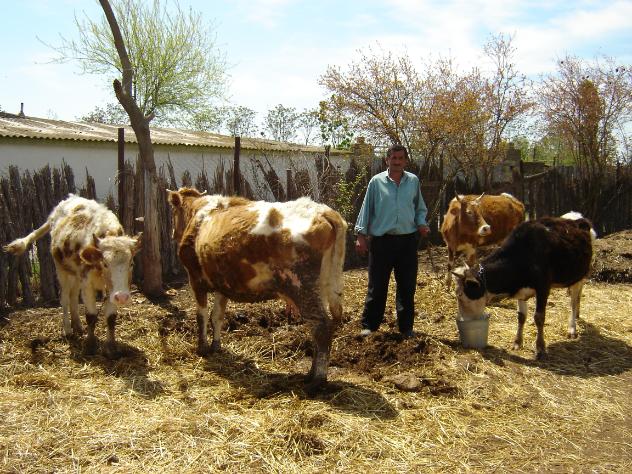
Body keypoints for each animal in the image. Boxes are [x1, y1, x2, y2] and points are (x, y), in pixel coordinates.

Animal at [3, 194, 141, 357]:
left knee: (73, 296)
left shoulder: (111, 289)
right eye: (105, 263)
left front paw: (111, 348)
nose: (122, 297)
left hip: (75, 275)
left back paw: (77, 326)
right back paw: (68, 330)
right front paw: (90, 346)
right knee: (64, 299)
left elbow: (111, 318)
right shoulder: (88, 284)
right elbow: (91, 316)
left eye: (131, 263)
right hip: (62, 271)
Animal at [167, 187, 347, 394]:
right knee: (318, 328)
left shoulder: (195, 279)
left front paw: (202, 348)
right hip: (321, 288)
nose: (172, 233)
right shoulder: (222, 284)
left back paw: (317, 381)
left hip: (303, 287)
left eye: (173, 211)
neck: (199, 213)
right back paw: (309, 374)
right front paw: (216, 346)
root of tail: (323, 211)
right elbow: (217, 316)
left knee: (321, 327)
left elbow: (201, 316)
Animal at [451, 212, 596, 359]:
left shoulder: (543, 287)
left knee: (573, 301)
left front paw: (540, 348)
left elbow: (539, 317)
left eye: (460, 295)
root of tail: (576, 218)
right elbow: (521, 316)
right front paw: (517, 342)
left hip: (579, 276)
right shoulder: (520, 289)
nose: (462, 320)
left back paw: (572, 327)